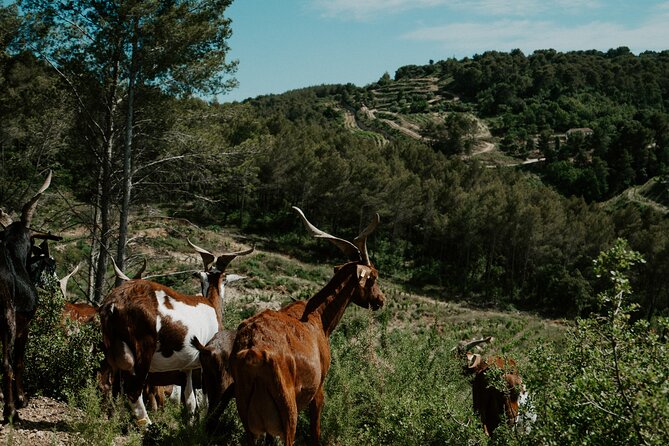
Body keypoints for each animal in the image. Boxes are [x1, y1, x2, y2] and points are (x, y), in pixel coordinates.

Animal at [99, 240, 253, 426]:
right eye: (225, 279)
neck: (210, 304)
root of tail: (114, 303)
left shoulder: (187, 367)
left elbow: (189, 400)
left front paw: (190, 423)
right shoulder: (204, 364)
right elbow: (205, 400)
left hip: (115, 354)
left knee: (115, 389)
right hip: (143, 352)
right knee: (133, 391)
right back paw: (148, 425)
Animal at [231, 207, 384, 444]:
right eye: (373, 276)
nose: (381, 300)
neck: (318, 317)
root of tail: (253, 352)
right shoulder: (319, 389)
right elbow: (315, 432)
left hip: (247, 416)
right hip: (288, 413)